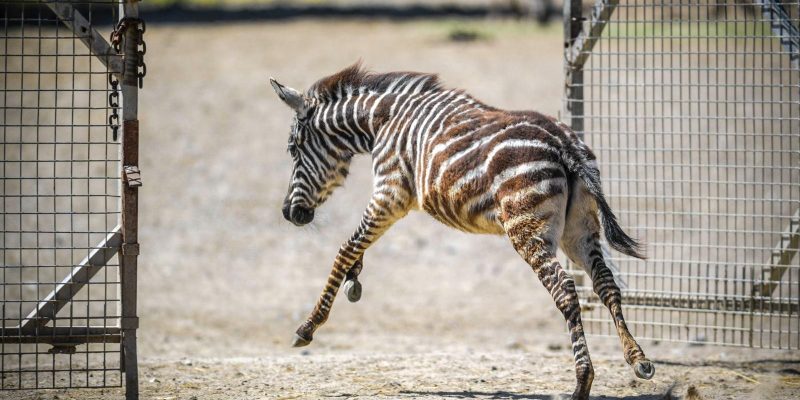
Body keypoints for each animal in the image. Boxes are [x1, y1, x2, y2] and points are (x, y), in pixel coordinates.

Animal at [269, 64, 654, 400]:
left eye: (293, 150)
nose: (290, 214)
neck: (382, 121)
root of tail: (566, 144)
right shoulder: (389, 198)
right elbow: (356, 245)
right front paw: (355, 279)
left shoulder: (390, 193)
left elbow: (345, 248)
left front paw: (309, 326)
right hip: (578, 230)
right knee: (606, 284)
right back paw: (638, 359)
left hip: (527, 230)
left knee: (565, 290)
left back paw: (582, 382)